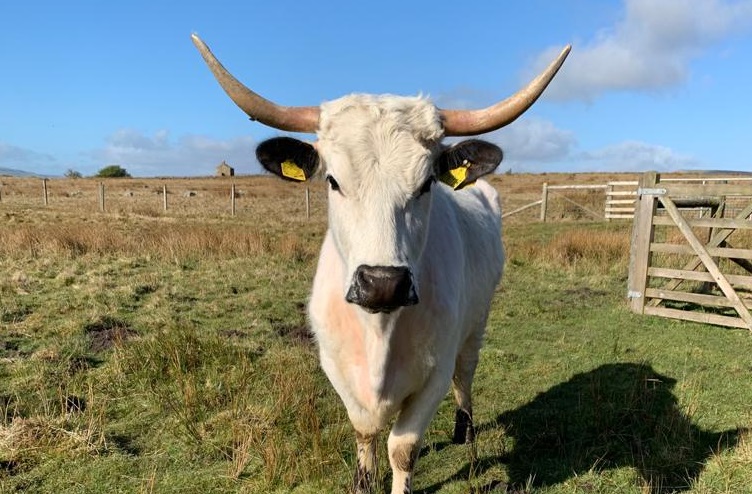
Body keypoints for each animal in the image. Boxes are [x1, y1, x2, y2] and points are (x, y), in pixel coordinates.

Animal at [192, 34, 570, 494]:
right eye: (332, 181)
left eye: (427, 183)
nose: (382, 282)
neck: (379, 333)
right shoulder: (337, 368)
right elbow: (364, 430)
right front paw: (362, 478)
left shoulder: (433, 377)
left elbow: (402, 448)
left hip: (476, 323)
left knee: (466, 375)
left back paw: (463, 429)